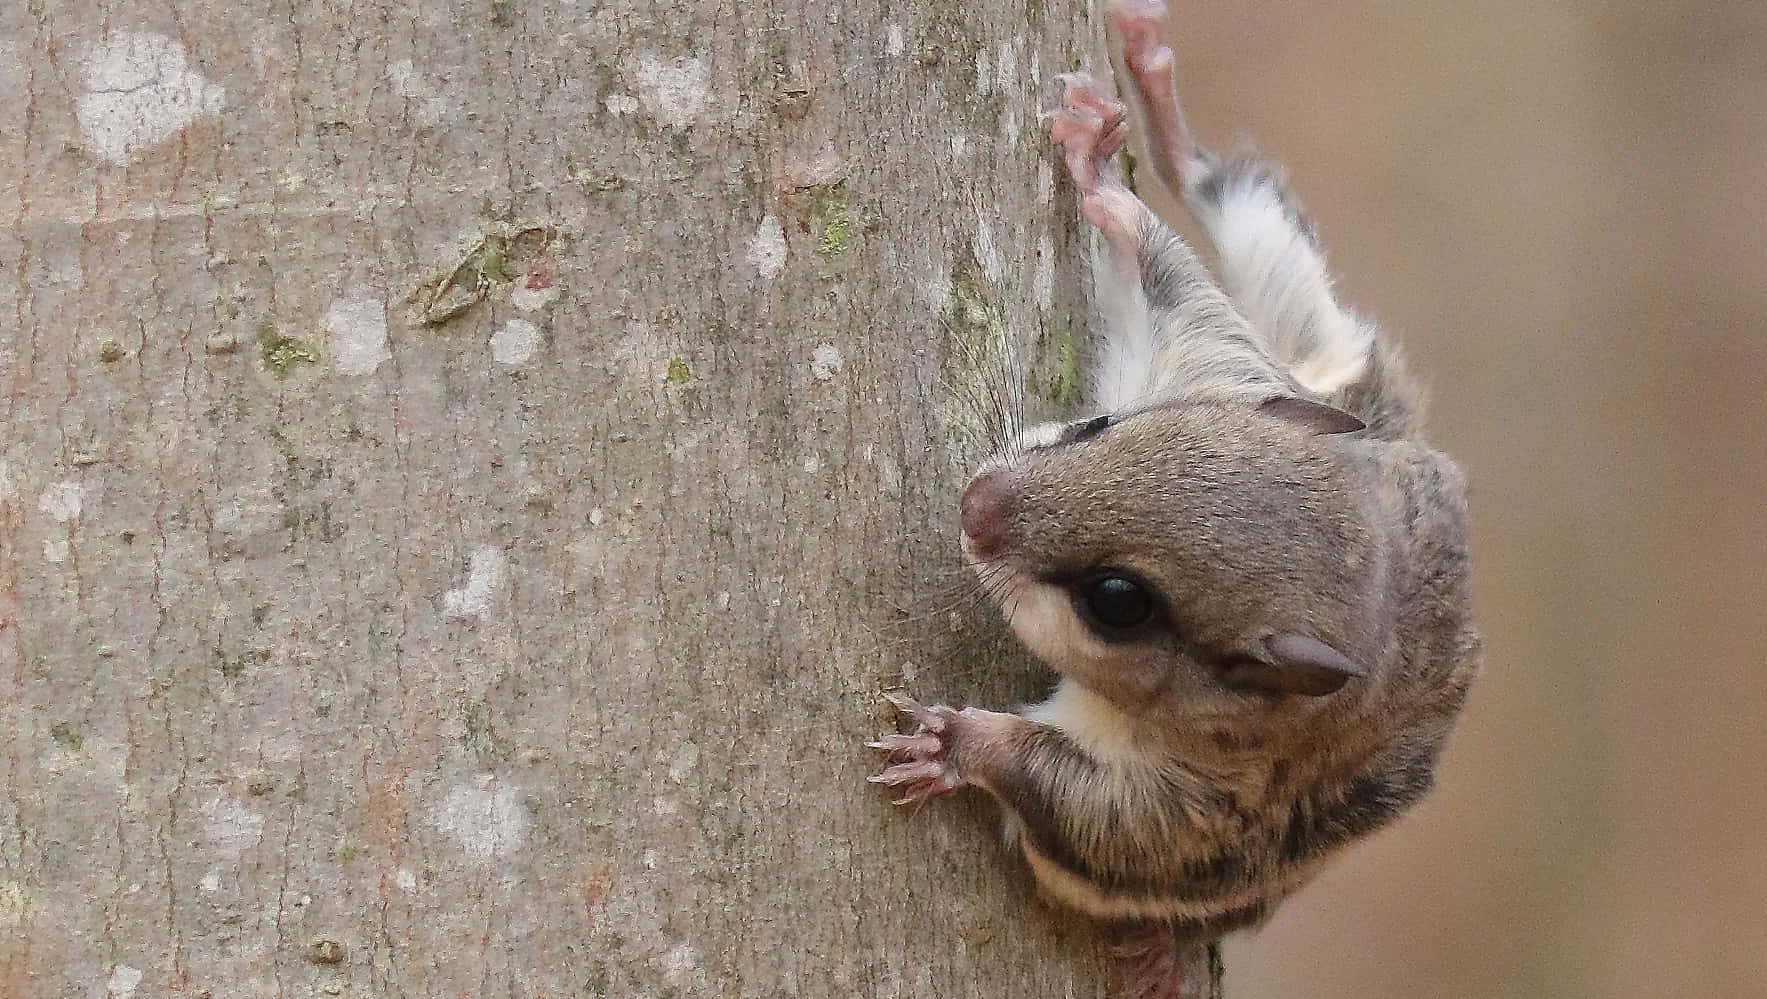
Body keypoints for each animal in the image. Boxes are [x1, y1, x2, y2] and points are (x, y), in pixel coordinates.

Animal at [869, 1, 1482, 995]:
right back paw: (1150, 90)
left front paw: (951, 745)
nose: (976, 506)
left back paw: (1158, 948)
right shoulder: (1220, 365)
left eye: (1117, 601)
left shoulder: (1196, 801)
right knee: (1221, 187)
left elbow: (1077, 802)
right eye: (1101, 426)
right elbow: (1176, 290)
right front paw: (1099, 178)